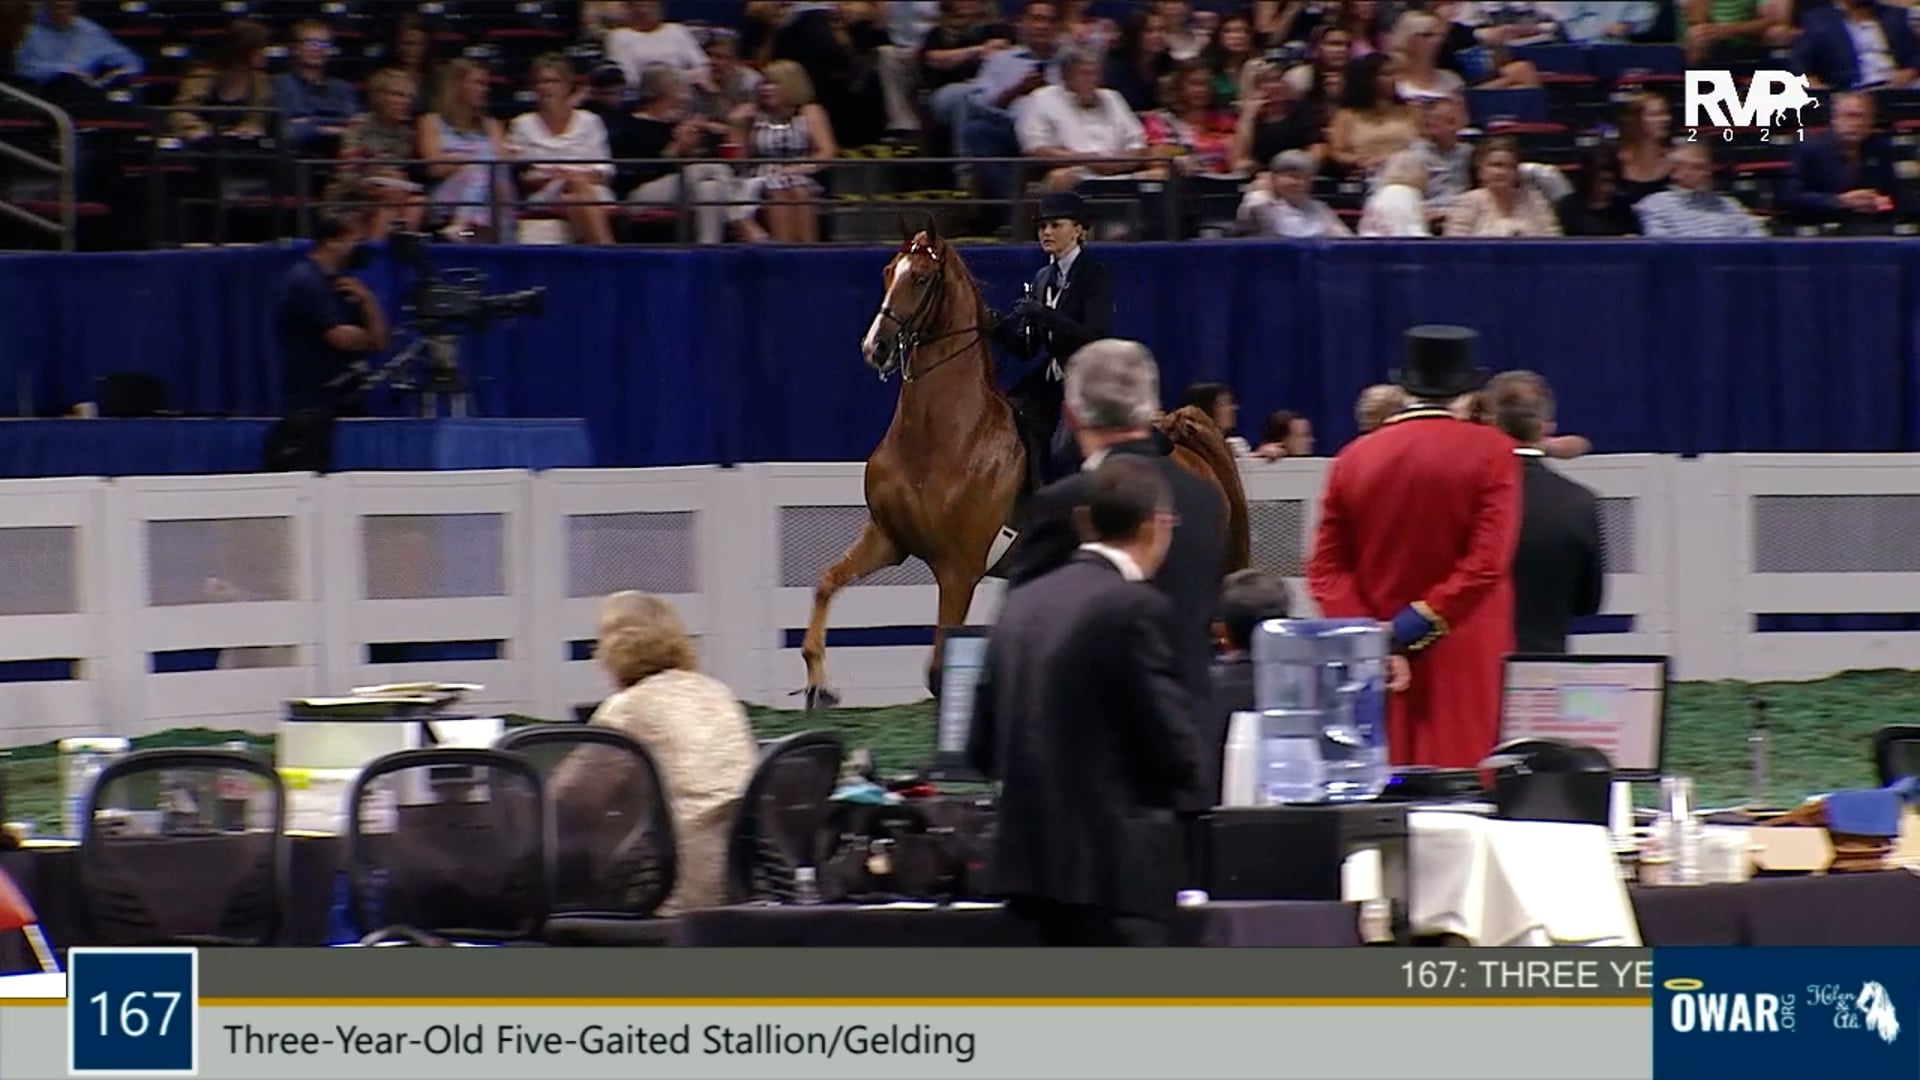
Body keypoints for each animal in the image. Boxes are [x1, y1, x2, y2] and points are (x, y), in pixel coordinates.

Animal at [797, 222, 1252, 711]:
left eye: (919, 278)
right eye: (887, 271)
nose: (875, 347)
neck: (940, 437)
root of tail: (1185, 447)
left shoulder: (958, 569)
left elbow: (938, 672)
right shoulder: (888, 538)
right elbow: (826, 581)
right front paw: (819, 684)